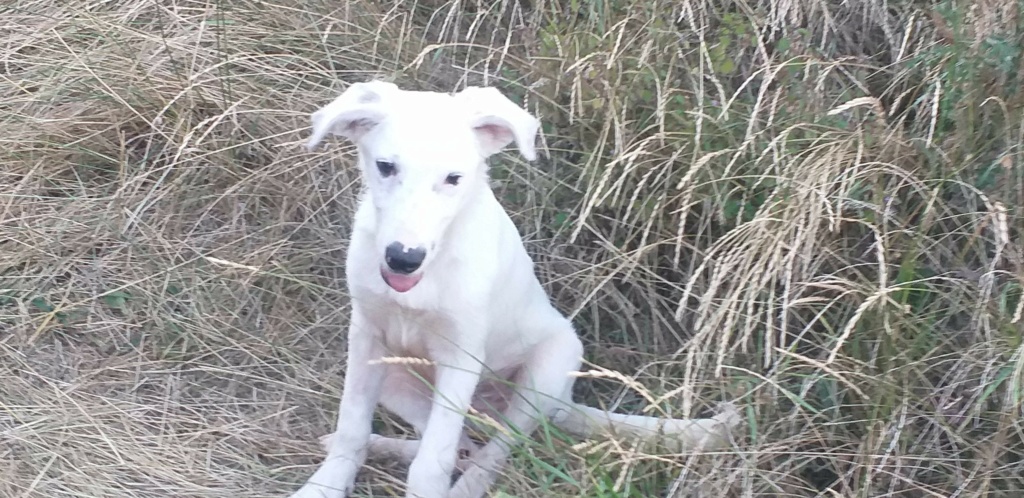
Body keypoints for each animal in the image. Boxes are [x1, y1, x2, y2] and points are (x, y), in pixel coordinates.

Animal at [288, 80, 737, 498]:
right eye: (385, 167)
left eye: (453, 179)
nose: (403, 258)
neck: (428, 273)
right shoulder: (366, 335)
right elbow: (353, 428)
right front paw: (325, 484)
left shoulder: (461, 356)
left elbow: (433, 465)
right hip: (396, 377)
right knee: (463, 445)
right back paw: (386, 447)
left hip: (546, 372)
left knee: (493, 454)